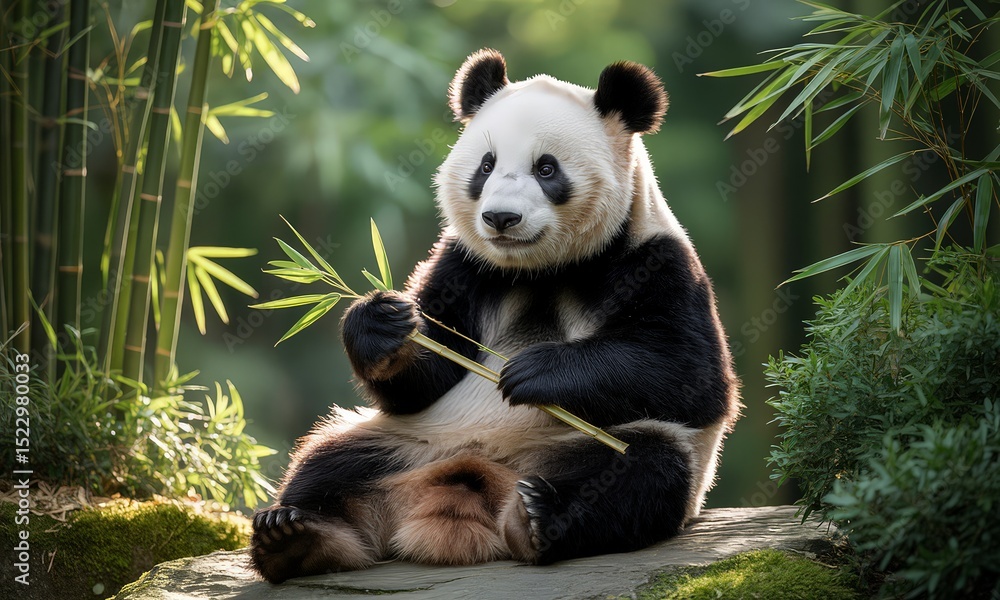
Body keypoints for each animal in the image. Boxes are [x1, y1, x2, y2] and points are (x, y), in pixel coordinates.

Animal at [250, 49, 740, 584]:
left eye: (546, 168)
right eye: (486, 165)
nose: (500, 218)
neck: (542, 269)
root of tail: (471, 483)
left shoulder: (654, 259)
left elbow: (694, 378)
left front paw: (535, 371)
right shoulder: (464, 263)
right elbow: (432, 368)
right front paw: (381, 324)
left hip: (606, 445)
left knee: (643, 471)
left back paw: (540, 517)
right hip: (407, 440)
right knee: (327, 462)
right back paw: (294, 536)